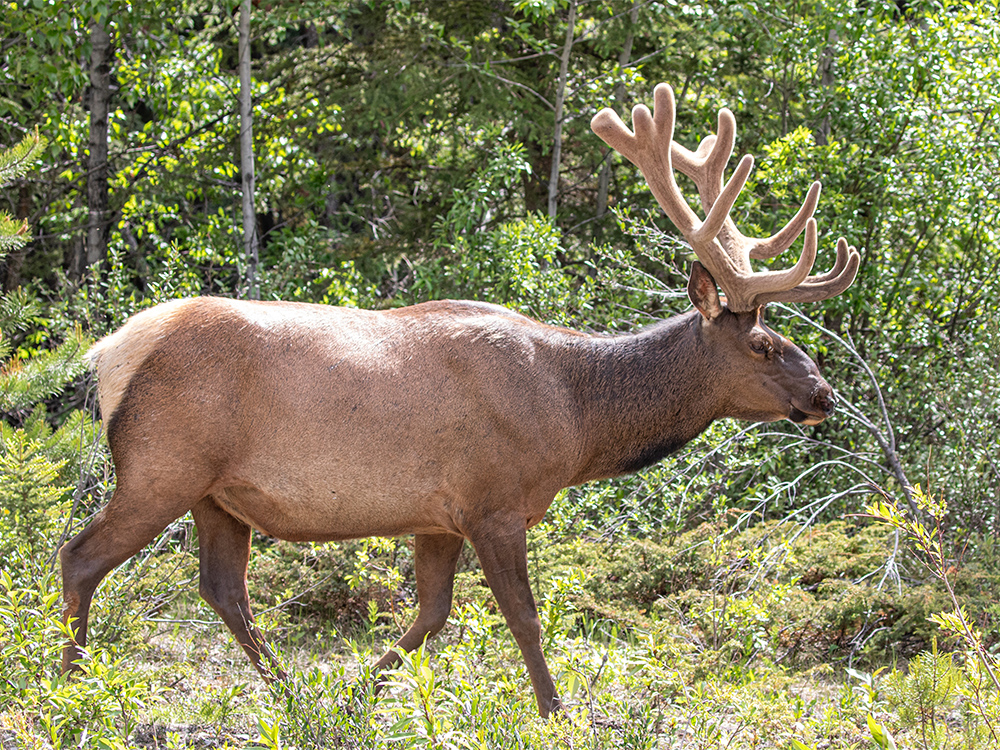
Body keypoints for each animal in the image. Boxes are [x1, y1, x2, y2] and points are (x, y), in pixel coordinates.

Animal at [60, 82, 860, 716]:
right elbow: (524, 619)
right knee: (81, 557)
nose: (824, 395)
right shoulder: (494, 501)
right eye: (763, 346)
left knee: (223, 589)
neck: (577, 419)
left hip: (217, 493)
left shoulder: (436, 515)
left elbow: (432, 616)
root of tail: (109, 354)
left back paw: (289, 693)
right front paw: (555, 712)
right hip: (161, 466)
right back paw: (70, 688)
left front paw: (354, 693)